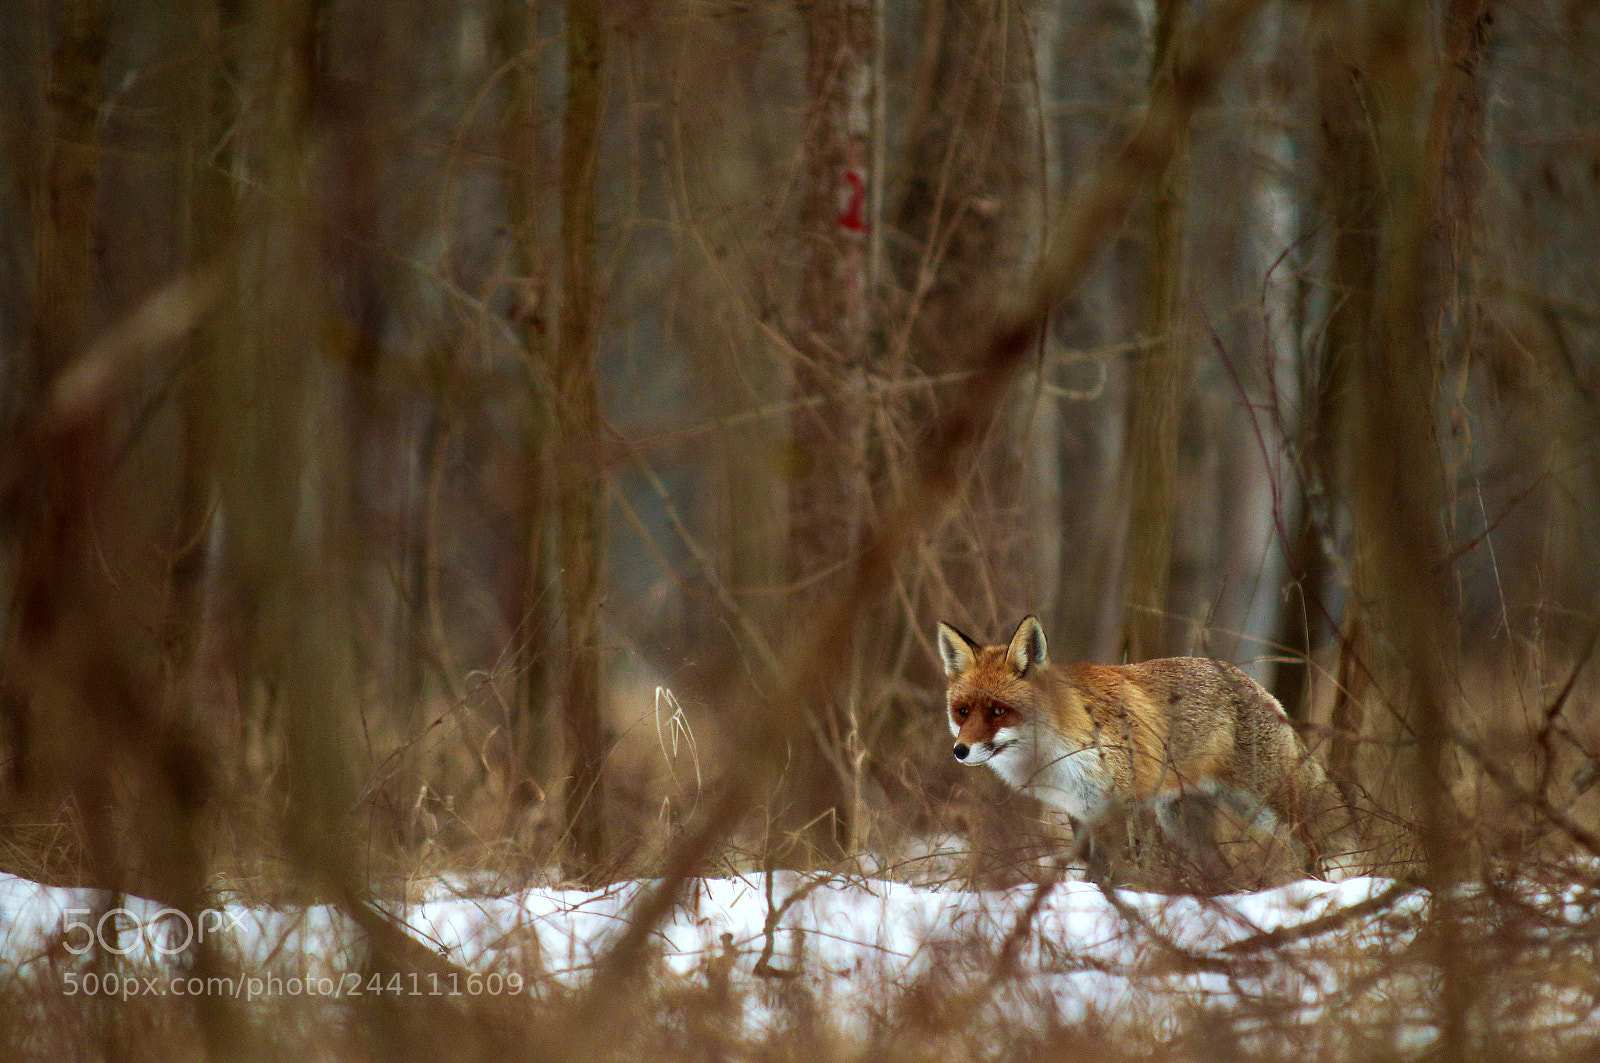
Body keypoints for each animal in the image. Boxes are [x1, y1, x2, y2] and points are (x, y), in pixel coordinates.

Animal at [937, 615, 1355, 885]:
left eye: (998, 711)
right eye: (963, 711)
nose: (960, 751)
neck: (1058, 749)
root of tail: (1258, 686)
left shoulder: (1123, 803)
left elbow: (1123, 867)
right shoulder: (1081, 810)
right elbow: (1094, 871)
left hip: (1266, 807)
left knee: (1309, 849)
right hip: (1183, 823)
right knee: (1220, 867)